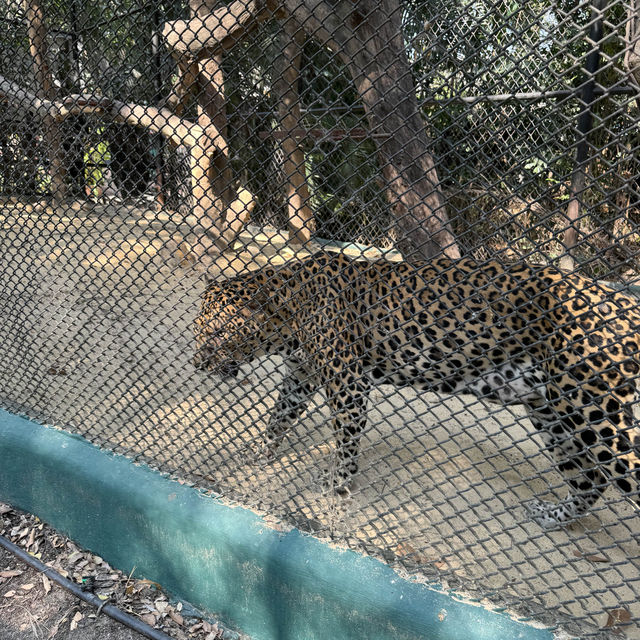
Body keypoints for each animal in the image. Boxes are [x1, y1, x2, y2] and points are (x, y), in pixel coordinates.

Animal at [192, 252, 640, 528]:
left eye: (216, 335)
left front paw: (337, 486)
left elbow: (346, 444)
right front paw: (259, 453)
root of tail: (625, 302)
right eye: (198, 329)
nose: (197, 363)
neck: (287, 308)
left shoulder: (348, 385)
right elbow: (278, 416)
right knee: (589, 482)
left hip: (601, 415)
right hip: (552, 411)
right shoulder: (301, 375)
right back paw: (551, 516)